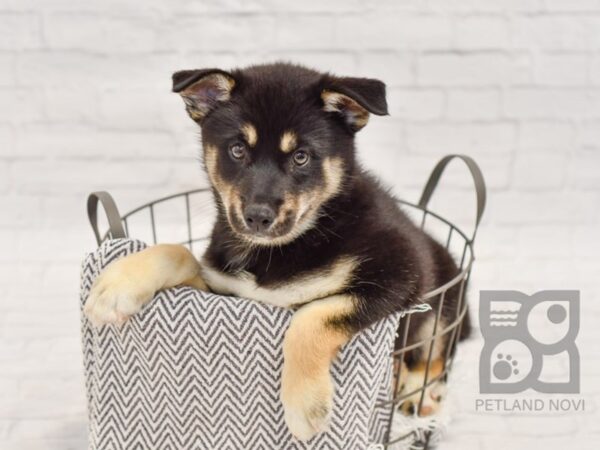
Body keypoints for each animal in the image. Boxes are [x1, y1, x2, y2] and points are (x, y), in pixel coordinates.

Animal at [84, 62, 468, 440]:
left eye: (301, 157)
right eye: (237, 150)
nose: (257, 217)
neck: (288, 245)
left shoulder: (396, 274)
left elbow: (313, 314)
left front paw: (304, 404)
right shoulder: (226, 289)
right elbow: (178, 252)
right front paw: (116, 287)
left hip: (440, 302)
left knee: (433, 356)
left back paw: (418, 396)